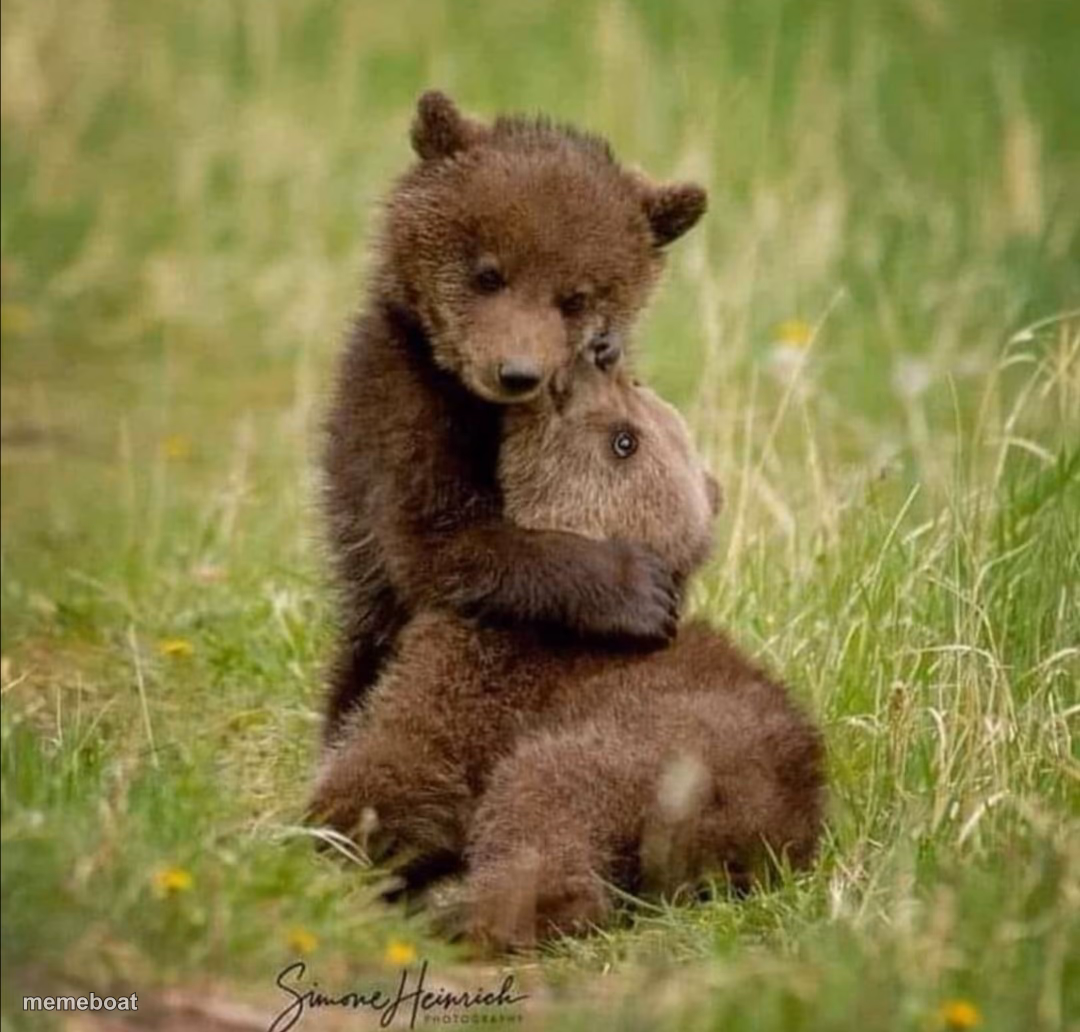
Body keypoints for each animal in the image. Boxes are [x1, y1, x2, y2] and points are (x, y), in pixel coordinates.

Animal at [311, 361, 825, 949]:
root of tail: (760, 822)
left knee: (542, 817)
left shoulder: (480, 671)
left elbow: (407, 760)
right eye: (644, 398)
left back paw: (460, 915)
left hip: (641, 753)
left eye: (625, 440)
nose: (597, 369)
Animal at [321, 91, 708, 740]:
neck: (480, 409)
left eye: (575, 297)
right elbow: (434, 545)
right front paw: (637, 588)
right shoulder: (401, 410)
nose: (517, 371)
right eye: (488, 273)